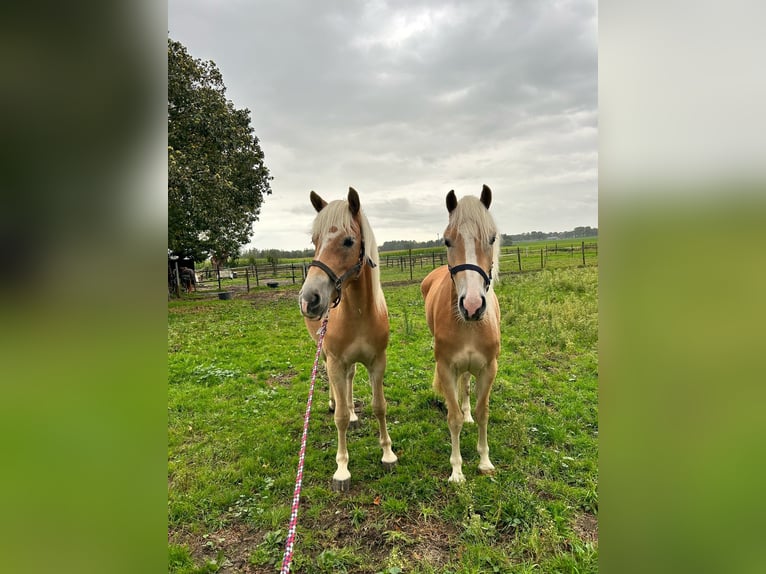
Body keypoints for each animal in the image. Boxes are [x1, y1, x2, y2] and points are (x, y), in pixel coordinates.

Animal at [298, 187, 400, 492]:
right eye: (315, 240)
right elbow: (340, 417)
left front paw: (388, 454)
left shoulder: (377, 362)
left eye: (348, 241)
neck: (360, 311)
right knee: (335, 385)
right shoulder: (335, 360)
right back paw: (335, 402)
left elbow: (380, 407)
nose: (309, 299)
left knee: (350, 378)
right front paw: (342, 470)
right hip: (326, 355)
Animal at [420, 187, 504, 484]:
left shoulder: (489, 368)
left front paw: (485, 461)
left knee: (466, 384)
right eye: (447, 241)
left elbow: (482, 412)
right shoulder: (446, 368)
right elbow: (453, 418)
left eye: (492, 238)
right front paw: (456, 470)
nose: (472, 306)